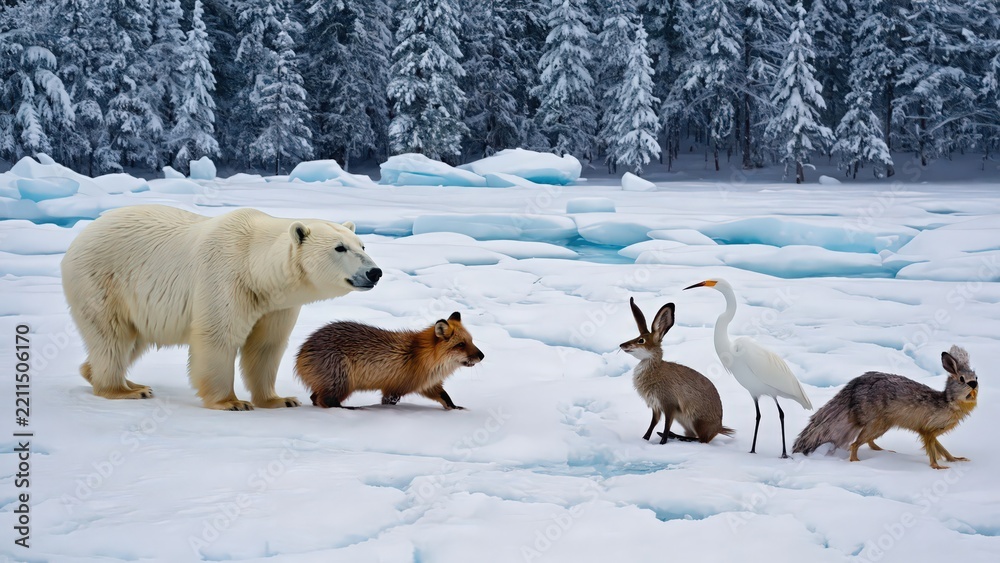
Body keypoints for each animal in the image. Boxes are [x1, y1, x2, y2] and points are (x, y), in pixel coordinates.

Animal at [295, 312, 484, 410]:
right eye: (461, 344)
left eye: (471, 340)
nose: (482, 356)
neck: (418, 356)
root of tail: (302, 351)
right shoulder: (393, 390)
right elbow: (387, 403)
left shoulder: (428, 385)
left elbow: (445, 397)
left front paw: (456, 409)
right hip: (342, 382)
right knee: (326, 401)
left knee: (315, 398)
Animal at [793, 346, 978, 469]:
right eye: (962, 379)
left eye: (976, 377)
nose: (974, 384)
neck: (948, 404)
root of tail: (854, 386)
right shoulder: (928, 432)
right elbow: (932, 452)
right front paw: (937, 467)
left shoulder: (930, 432)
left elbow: (943, 450)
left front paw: (955, 460)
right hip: (878, 425)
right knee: (854, 444)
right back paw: (857, 462)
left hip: (882, 426)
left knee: (867, 442)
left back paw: (884, 451)